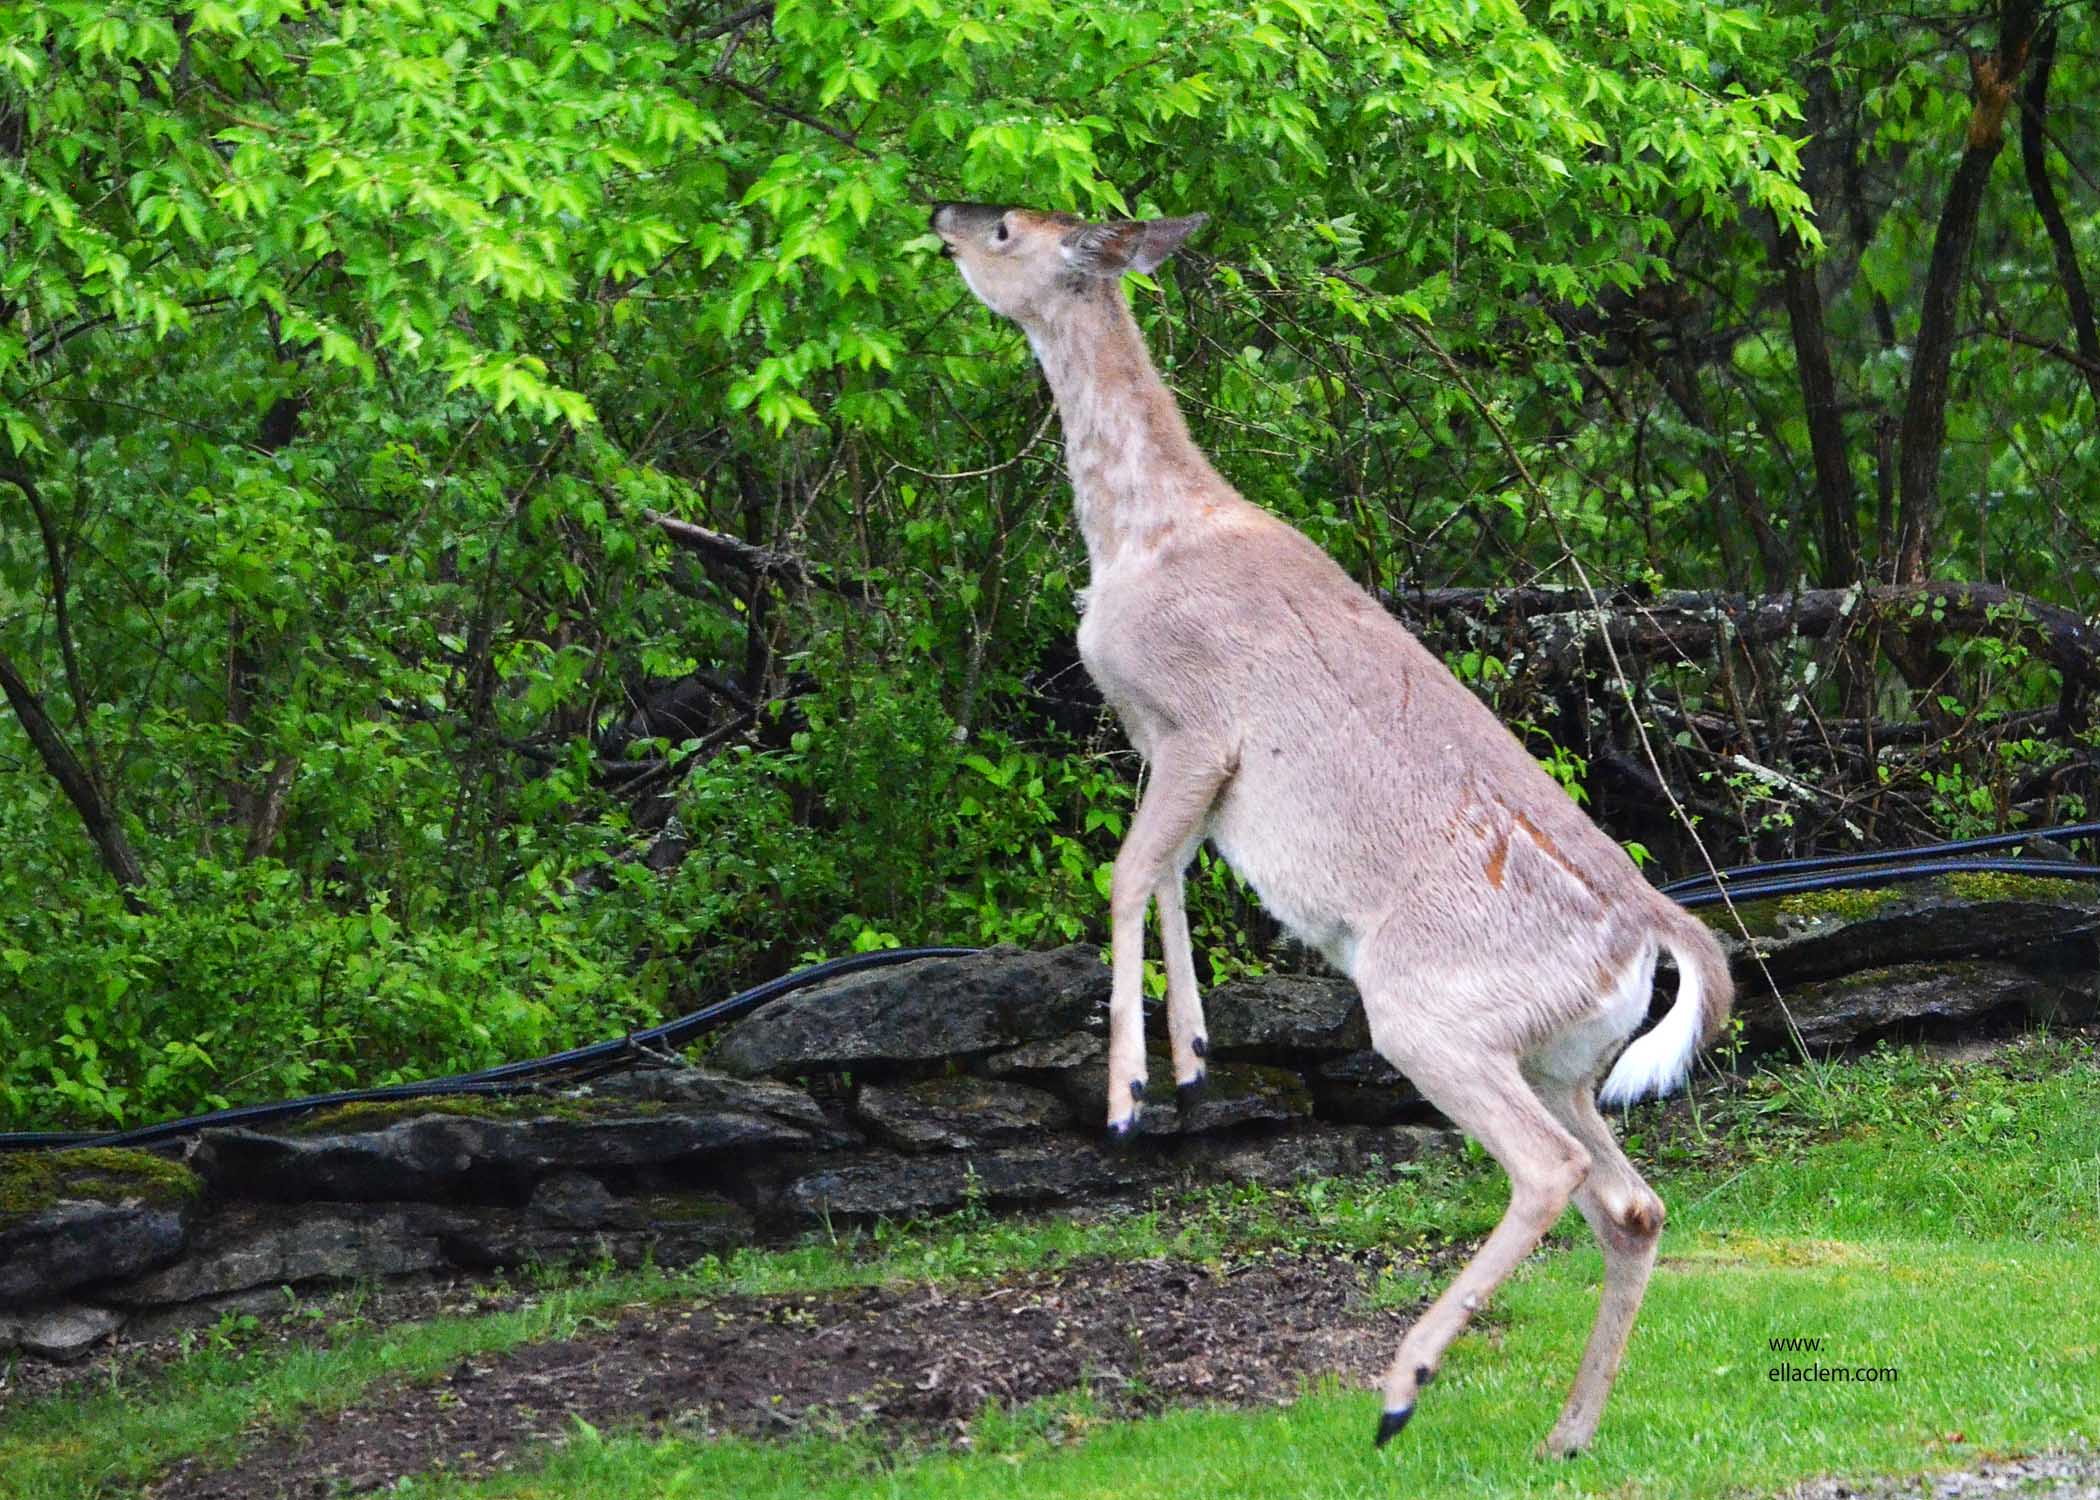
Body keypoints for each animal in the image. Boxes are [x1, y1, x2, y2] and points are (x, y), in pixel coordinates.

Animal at [928, 198, 1730, 1445]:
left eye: (1009, 225)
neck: (1144, 535)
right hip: (1563, 1057)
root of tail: (1657, 933)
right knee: (1634, 1202)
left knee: (1549, 1173)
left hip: (1429, 1007)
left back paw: (1404, 1388)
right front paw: (1193, 1061)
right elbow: (1165, 873)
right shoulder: (1170, 748)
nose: (940, 216)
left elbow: (1124, 873)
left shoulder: (1199, 721)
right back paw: (1565, 1432)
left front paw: (1126, 1097)